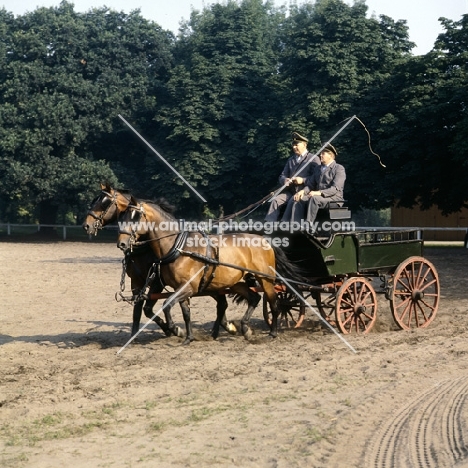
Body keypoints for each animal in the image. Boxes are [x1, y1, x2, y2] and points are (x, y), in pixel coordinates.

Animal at [115, 196, 302, 346]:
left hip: (266, 279)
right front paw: (188, 337)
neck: (178, 247)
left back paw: (272, 332)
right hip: (236, 282)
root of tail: (265, 240)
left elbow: (167, 305)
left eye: (135, 217)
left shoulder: (187, 288)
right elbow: (186, 313)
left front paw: (175, 329)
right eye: (122, 217)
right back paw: (244, 328)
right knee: (254, 298)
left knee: (274, 303)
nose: (122, 243)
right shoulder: (181, 288)